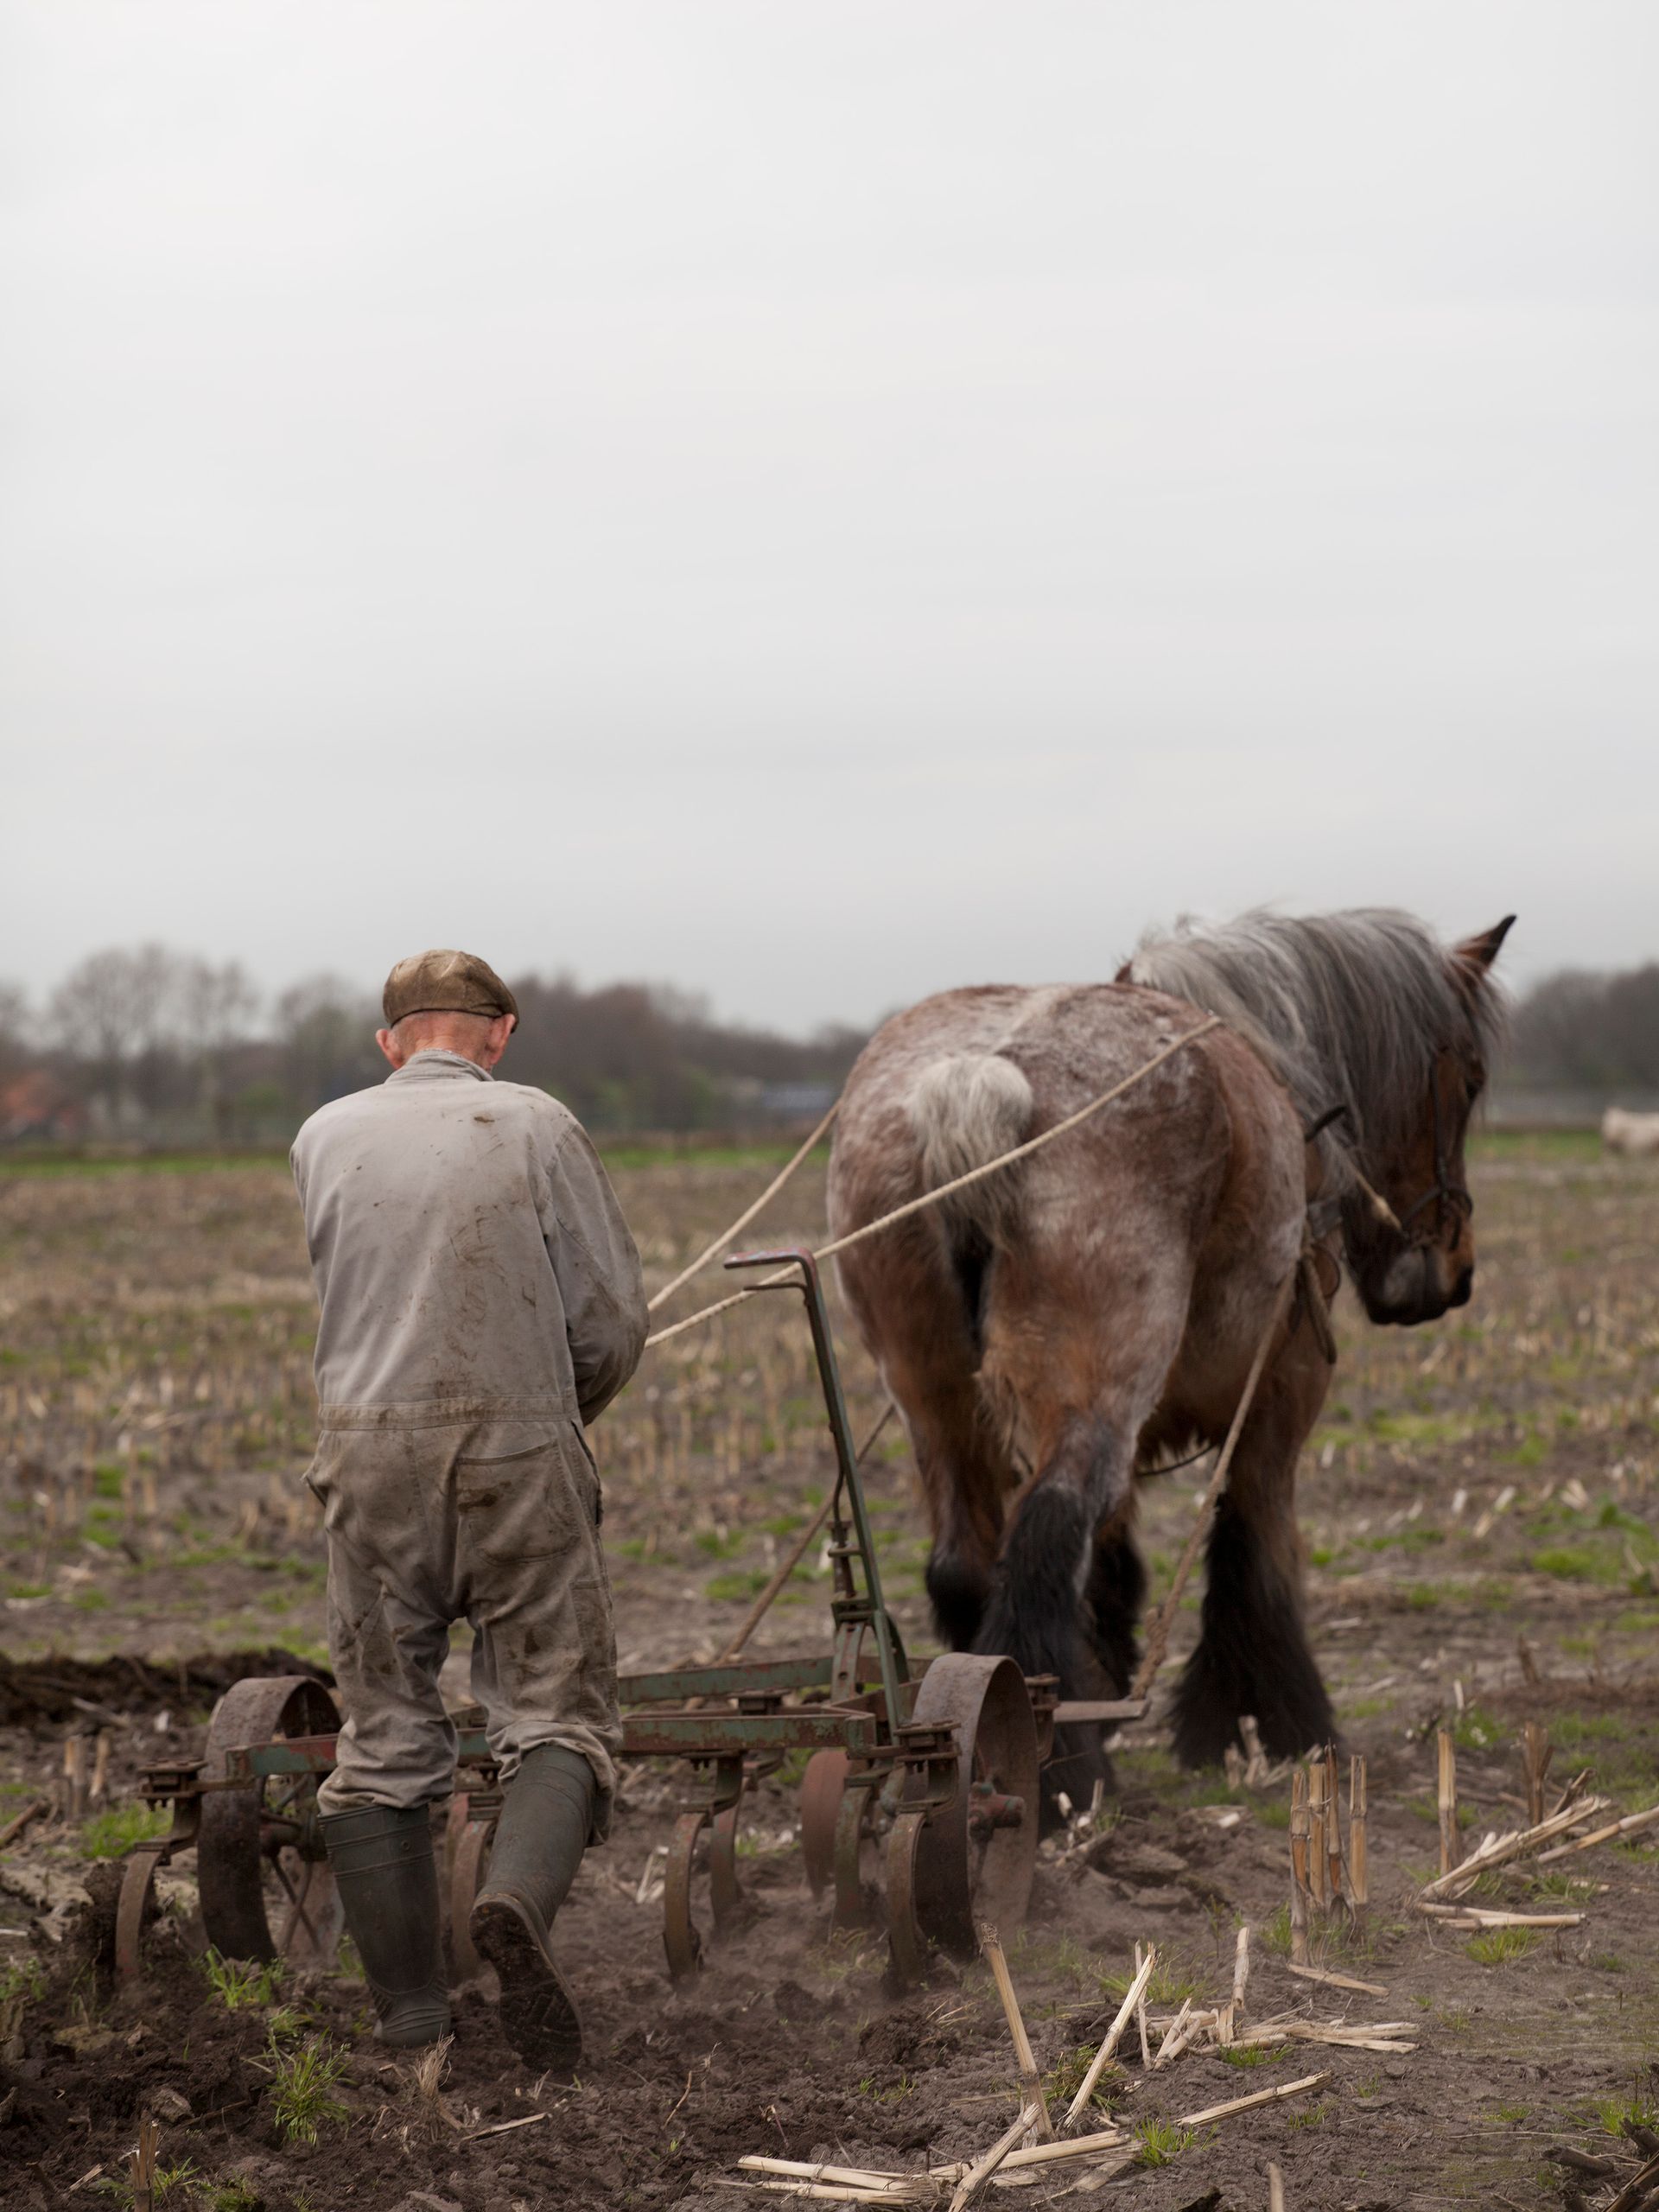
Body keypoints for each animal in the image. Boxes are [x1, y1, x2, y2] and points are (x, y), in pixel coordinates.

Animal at [826, 908, 1512, 1802]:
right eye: (1468, 1081)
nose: (1454, 1274)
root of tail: (977, 1076)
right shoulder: (1283, 1391)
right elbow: (1254, 1552)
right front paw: (1277, 1725)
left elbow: (1115, 1568)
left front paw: (1119, 1690)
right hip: (1094, 1390)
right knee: (1045, 1536)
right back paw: (1062, 1779)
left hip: (935, 1405)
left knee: (965, 1564)